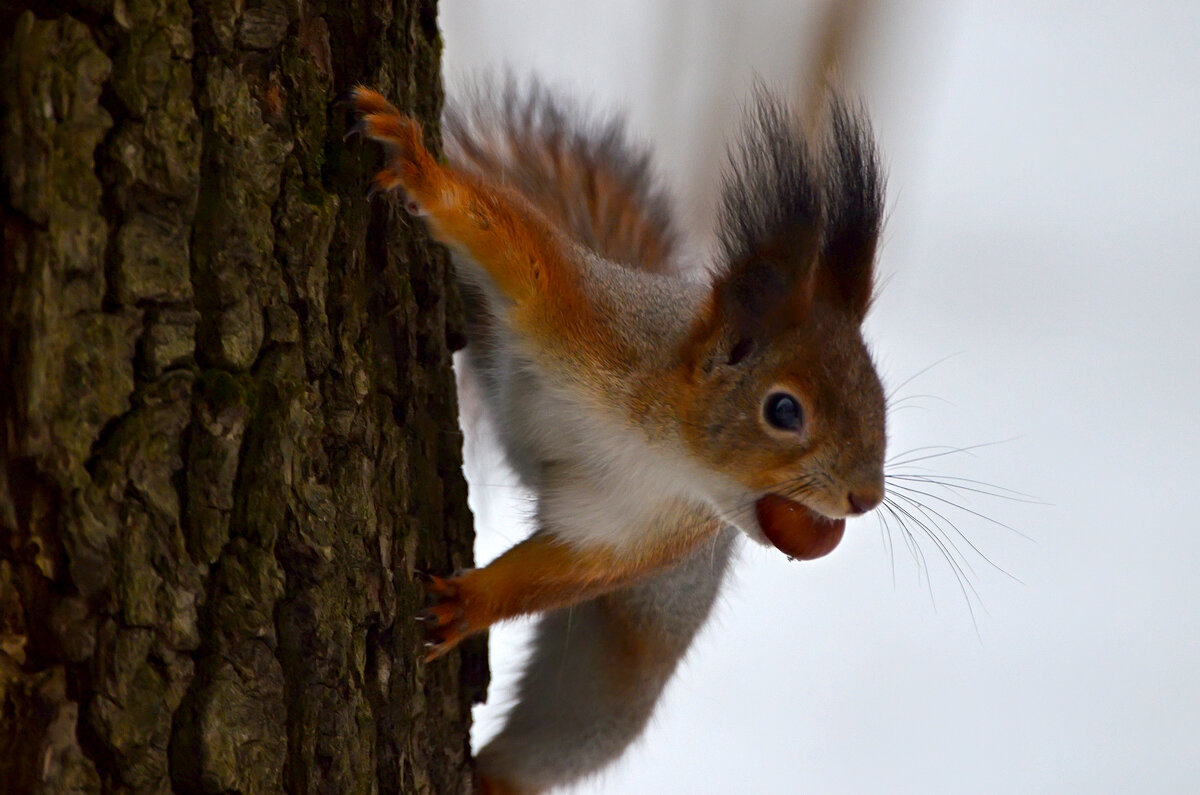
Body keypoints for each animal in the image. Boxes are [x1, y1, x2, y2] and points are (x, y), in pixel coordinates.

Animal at [350, 73, 888, 792]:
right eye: (783, 411)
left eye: (880, 401)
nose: (866, 497)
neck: (664, 446)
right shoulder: (587, 318)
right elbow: (518, 246)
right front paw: (421, 168)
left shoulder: (639, 529)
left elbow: (566, 569)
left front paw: (467, 604)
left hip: (610, 683)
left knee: (557, 738)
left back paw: (495, 777)